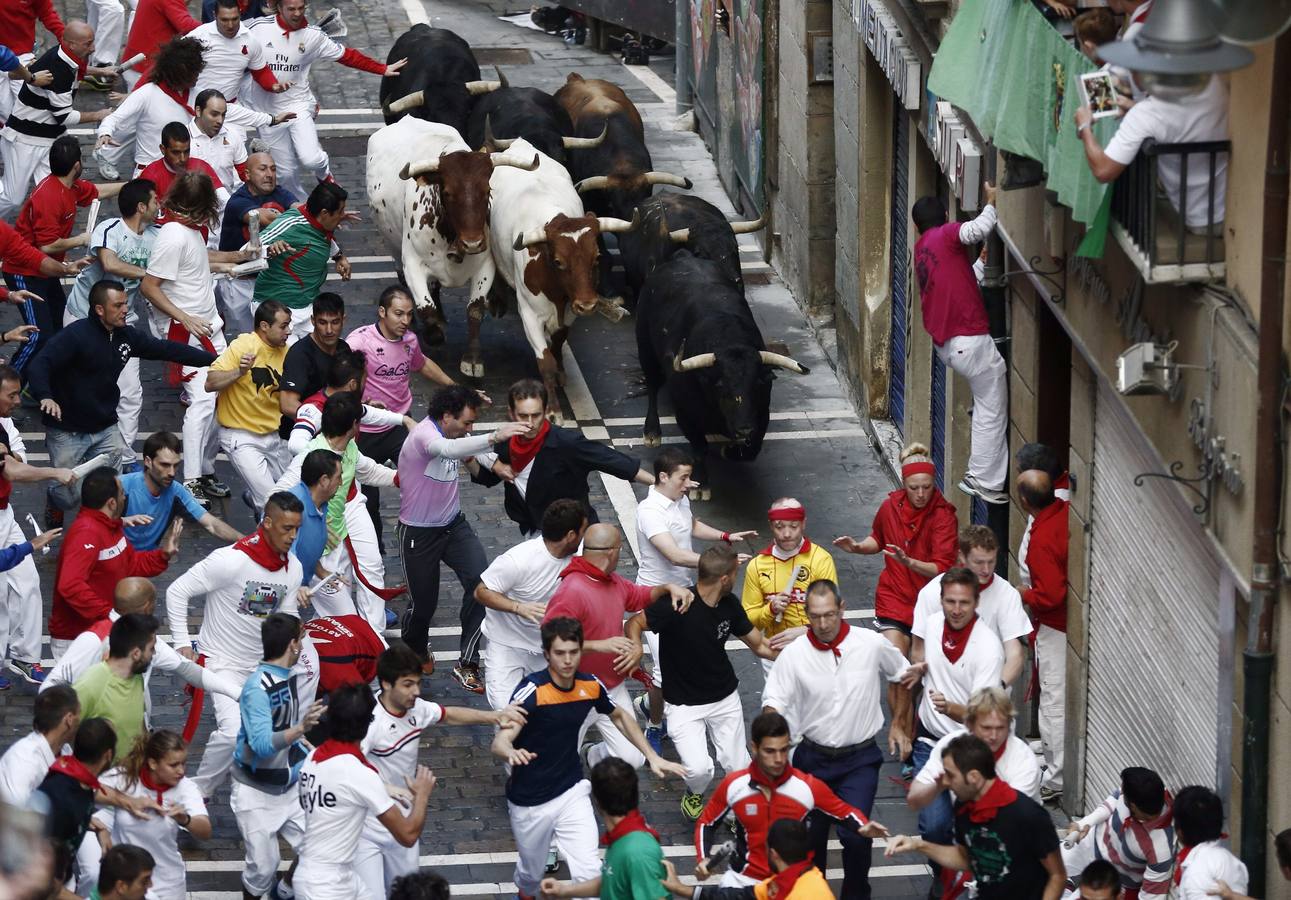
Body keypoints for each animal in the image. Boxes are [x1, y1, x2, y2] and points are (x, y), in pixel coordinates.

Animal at [369, 117, 534, 374]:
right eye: (447, 192)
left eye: (488, 190)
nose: (473, 242)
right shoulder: (413, 264)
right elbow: (425, 307)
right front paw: (433, 332)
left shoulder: (484, 267)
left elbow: (475, 310)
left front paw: (472, 359)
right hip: (392, 246)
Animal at [485, 134, 637, 410]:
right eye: (558, 261)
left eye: (596, 257)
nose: (588, 305)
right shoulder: (529, 314)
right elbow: (545, 361)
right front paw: (554, 410)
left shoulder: (569, 312)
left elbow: (557, 342)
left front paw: (561, 374)